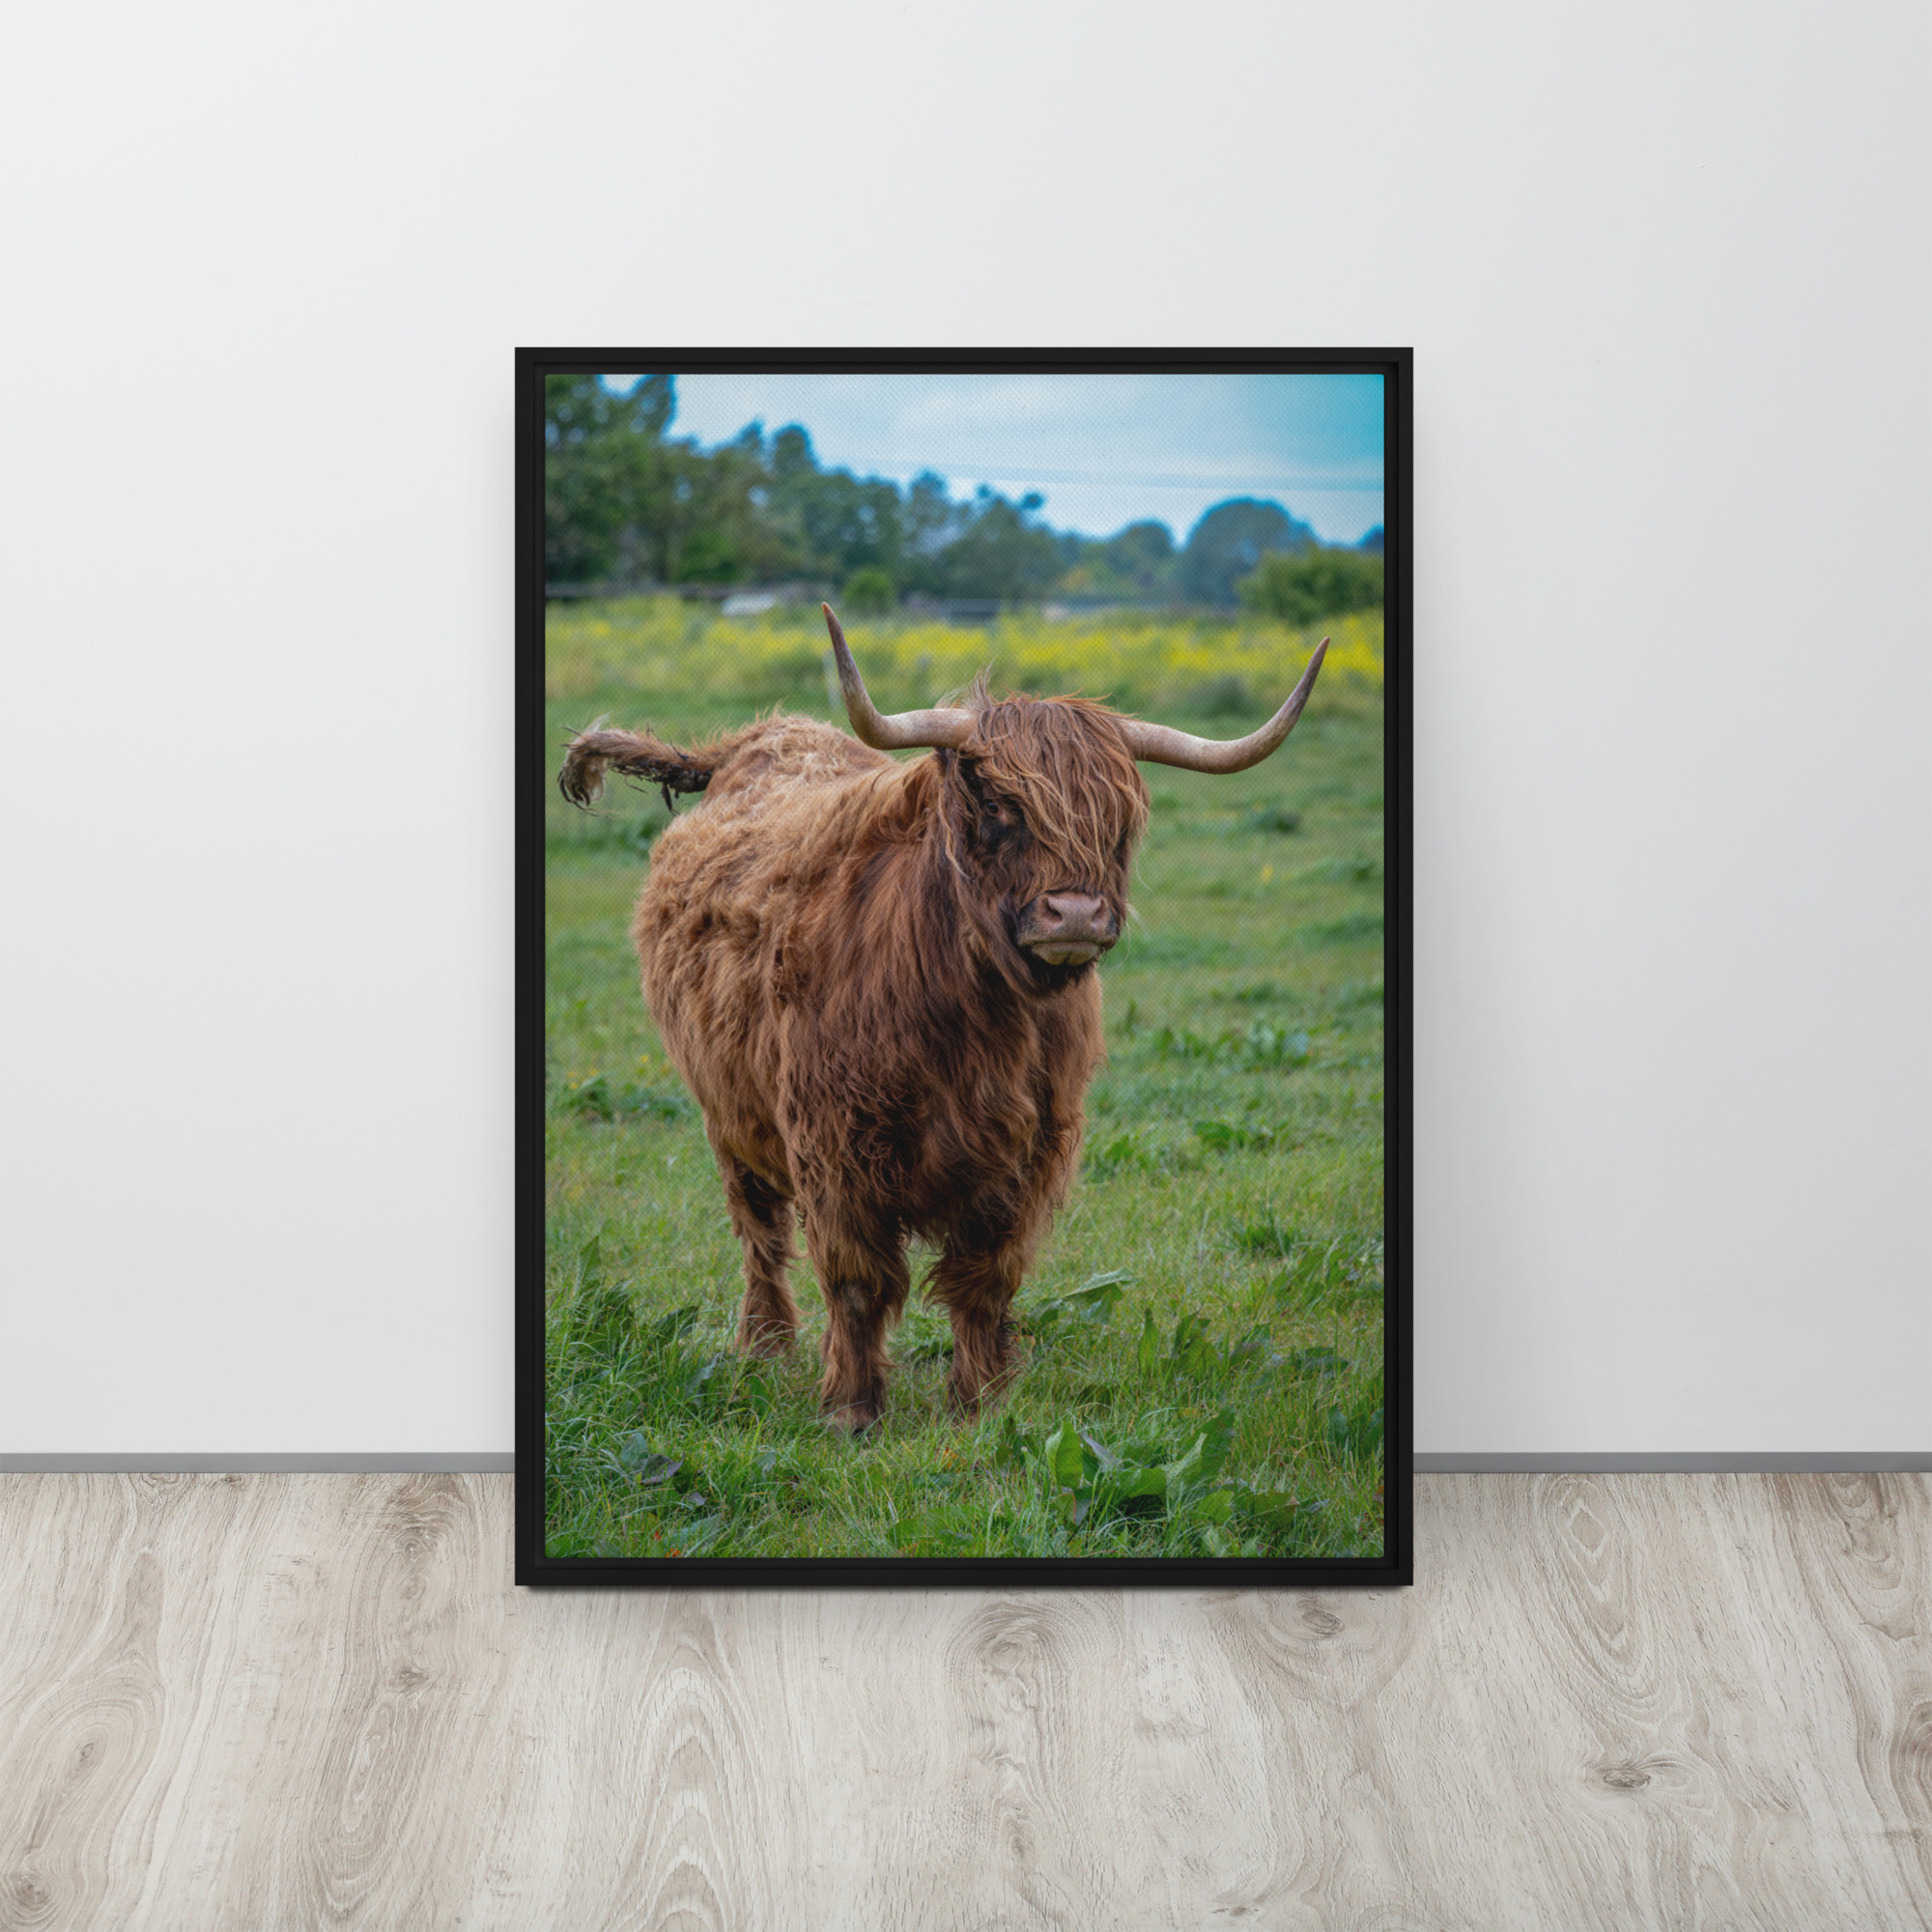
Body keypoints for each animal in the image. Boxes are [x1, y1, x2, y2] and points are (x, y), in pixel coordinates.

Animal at [559, 605, 1327, 1432]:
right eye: (996, 806)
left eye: (1119, 817)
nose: (1076, 914)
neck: (972, 1023)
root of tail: (762, 735)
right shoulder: (833, 1142)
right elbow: (858, 1280)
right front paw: (852, 1409)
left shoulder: (1029, 1151)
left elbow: (984, 1279)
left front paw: (980, 1400)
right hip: (726, 1107)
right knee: (758, 1231)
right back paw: (763, 1345)